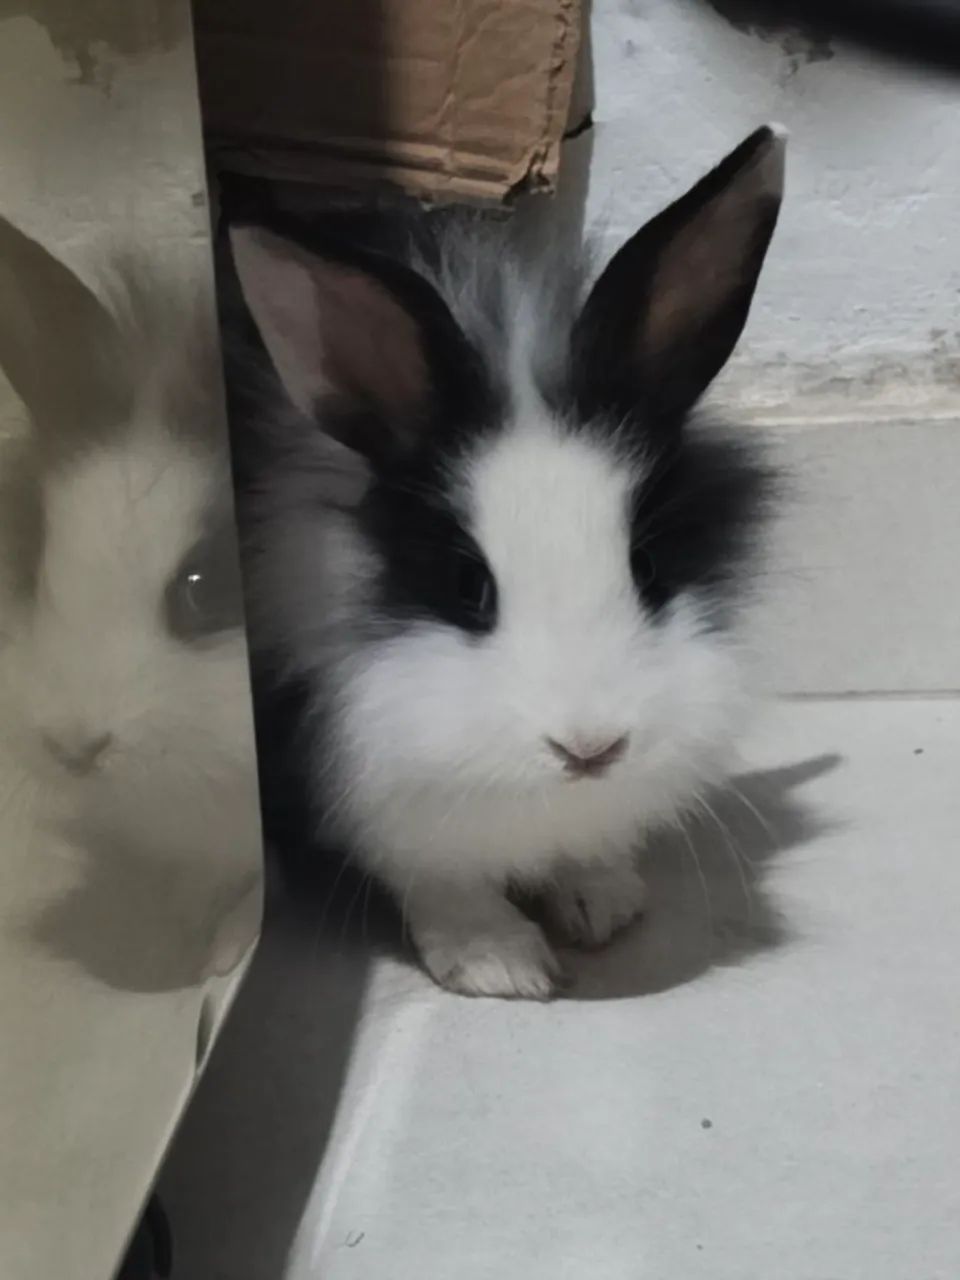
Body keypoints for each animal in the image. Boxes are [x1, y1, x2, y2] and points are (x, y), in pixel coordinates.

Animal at [226, 125, 786, 999]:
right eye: (469, 586)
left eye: (647, 566)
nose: (591, 750)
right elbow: (440, 878)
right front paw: (500, 964)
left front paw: (602, 904)